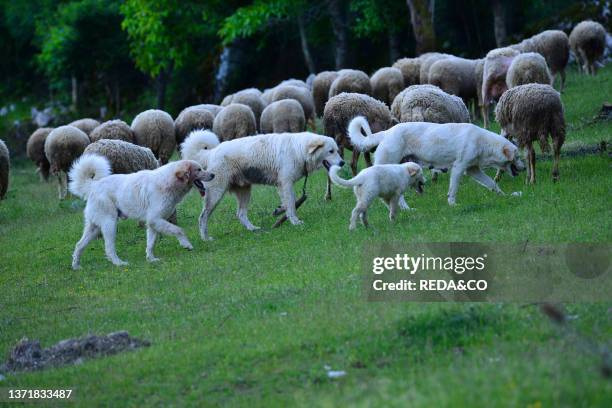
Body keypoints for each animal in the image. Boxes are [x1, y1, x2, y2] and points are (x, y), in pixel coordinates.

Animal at [67, 155, 213, 270]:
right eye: (199, 169)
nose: (213, 175)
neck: (169, 181)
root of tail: (94, 185)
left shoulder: (153, 223)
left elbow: (151, 244)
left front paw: (151, 259)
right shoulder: (155, 219)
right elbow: (178, 230)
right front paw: (186, 244)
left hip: (94, 227)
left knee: (79, 245)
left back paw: (76, 266)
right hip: (110, 224)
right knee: (109, 249)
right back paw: (119, 263)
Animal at [182, 130, 344, 239]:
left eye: (337, 150)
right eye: (331, 151)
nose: (342, 162)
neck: (299, 150)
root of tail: (211, 152)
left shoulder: (283, 186)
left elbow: (288, 203)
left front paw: (280, 211)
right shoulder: (286, 183)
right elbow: (291, 203)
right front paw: (295, 222)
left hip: (244, 191)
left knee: (241, 214)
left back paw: (253, 229)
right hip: (215, 193)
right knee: (203, 217)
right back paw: (206, 238)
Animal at [350, 116, 524, 206]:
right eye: (518, 157)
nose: (524, 168)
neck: (483, 142)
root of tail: (386, 132)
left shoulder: (473, 170)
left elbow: (492, 184)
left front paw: (504, 195)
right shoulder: (459, 168)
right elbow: (453, 189)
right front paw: (452, 204)